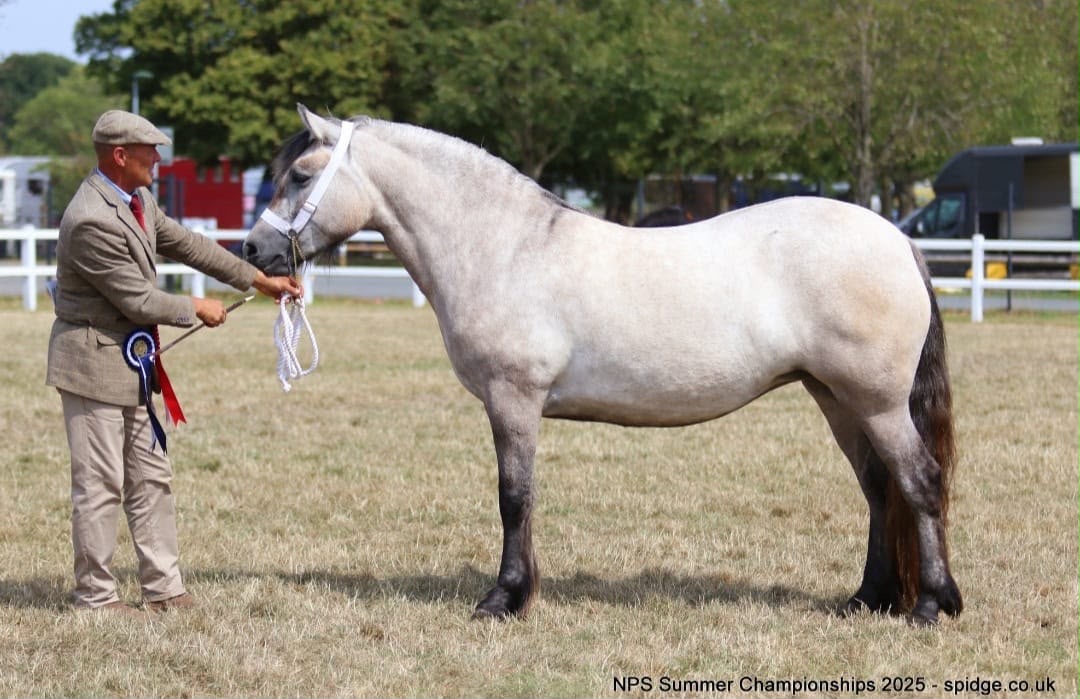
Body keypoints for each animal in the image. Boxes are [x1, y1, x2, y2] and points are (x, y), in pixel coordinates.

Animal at [243, 105, 962, 626]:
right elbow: (522, 498)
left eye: (300, 175)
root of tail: (897, 239)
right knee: (879, 488)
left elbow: (514, 497)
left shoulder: (513, 398)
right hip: (835, 397)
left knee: (920, 481)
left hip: (874, 401)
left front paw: (503, 599)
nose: (254, 250)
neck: (504, 246)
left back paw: (931, 603)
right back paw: (868, 598)